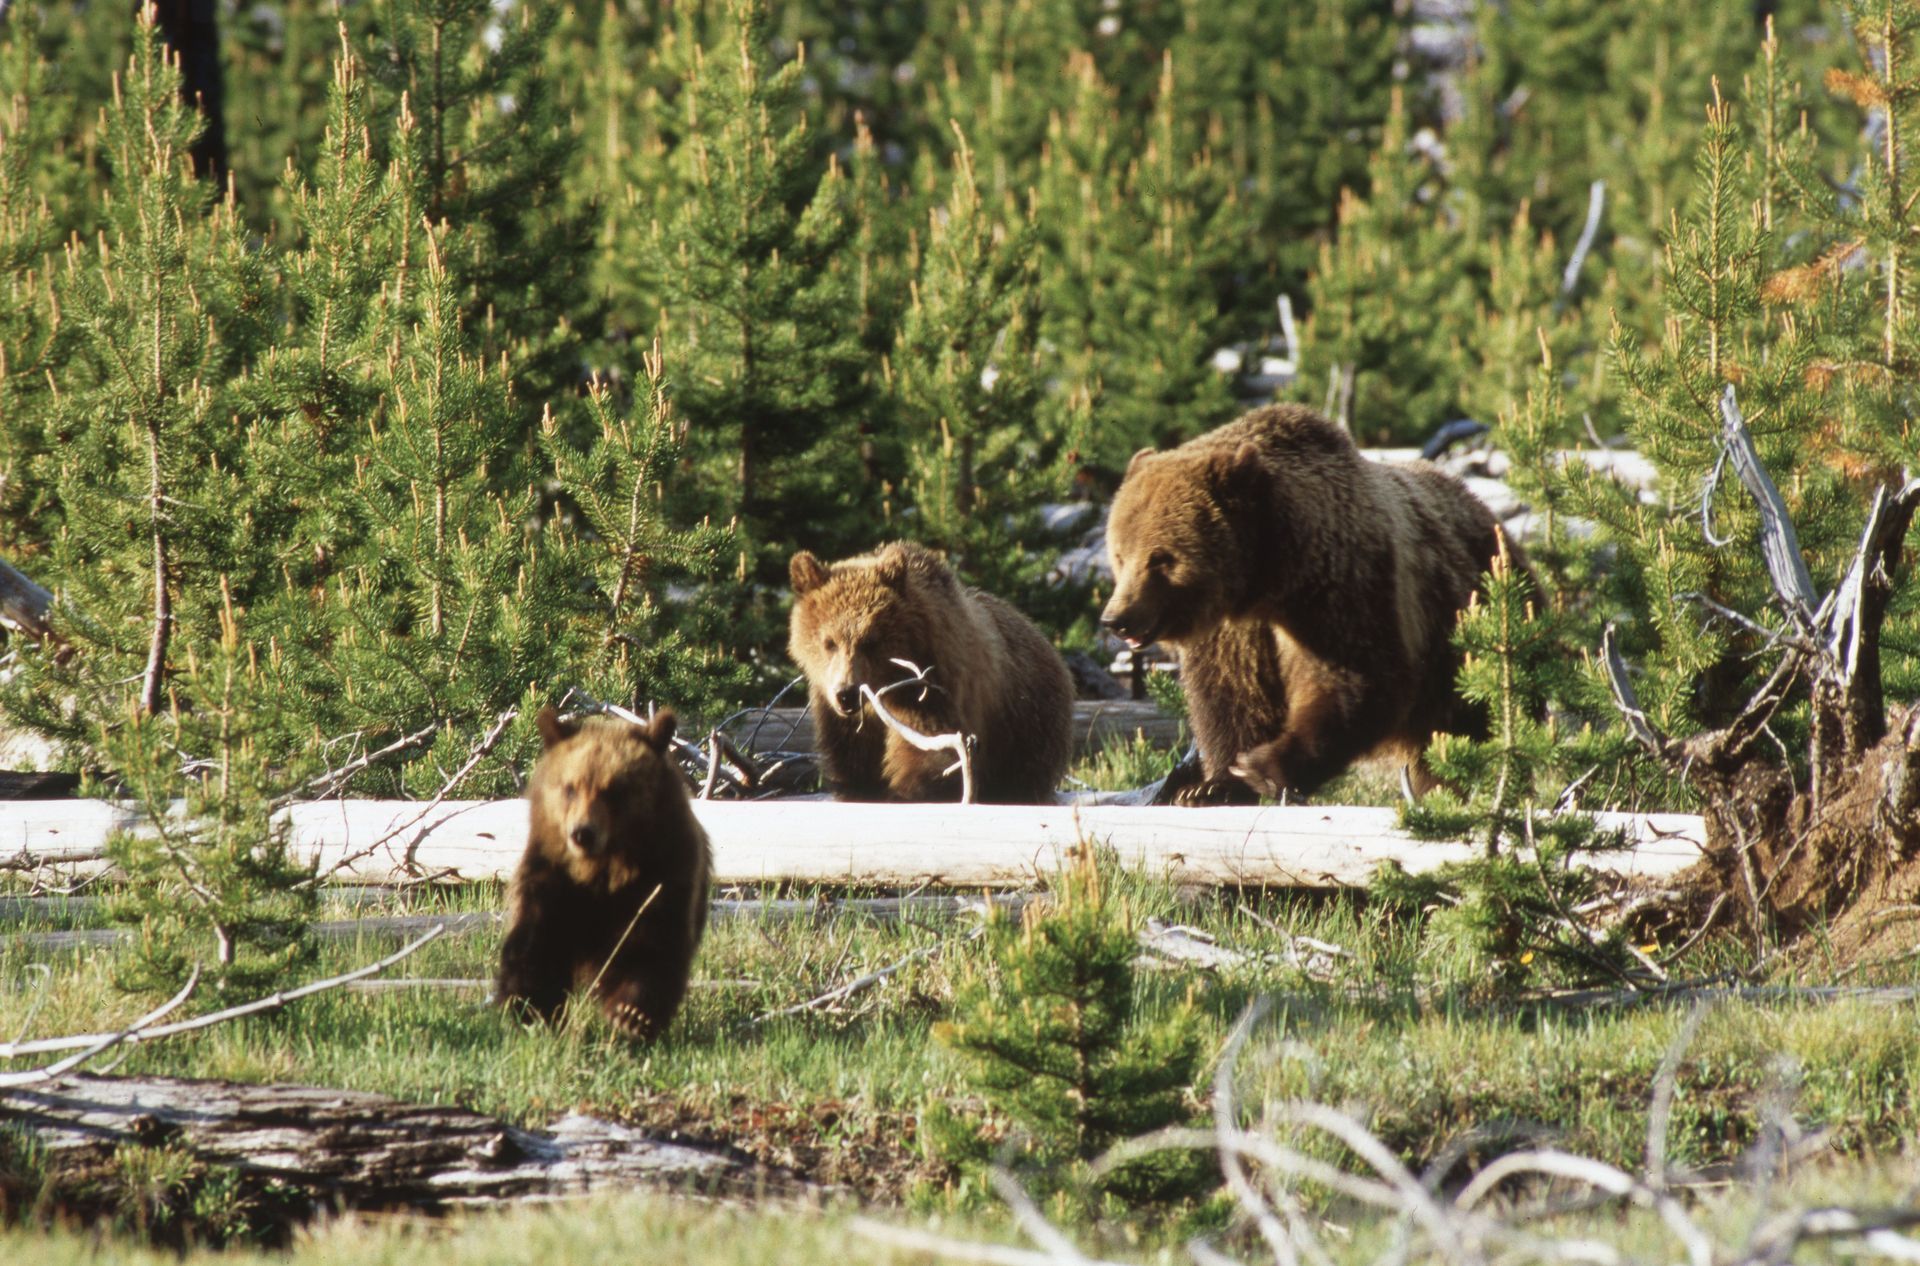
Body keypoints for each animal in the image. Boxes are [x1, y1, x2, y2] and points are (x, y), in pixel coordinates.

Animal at [495, 706, 711, 1040]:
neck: (600, 872)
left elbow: (651, 948)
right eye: (570, 787)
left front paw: (629, 1016)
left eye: (615, 790)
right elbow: (536, 945)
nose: (583, 833)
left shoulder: (660, 878)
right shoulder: (551, 880)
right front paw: (530, 1008)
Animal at [787, 540, 1074, 803]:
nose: (846, 693)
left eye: (870, 641)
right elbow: (852, 764)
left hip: (1026, 726)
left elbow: (930, 751)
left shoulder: (931, 687)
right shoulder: (840, 719)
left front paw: (903, 792)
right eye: (829, 642)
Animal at [1100, 403, 1526, 806]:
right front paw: (1210, 786)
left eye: (1161, 558)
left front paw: (1262, 768)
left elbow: (1355, 677)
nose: (1116, 618)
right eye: (1120, 554)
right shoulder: (1235, 634)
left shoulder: (1338, 585)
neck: (1264, 580)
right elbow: (1231, 699)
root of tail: (1490, 514)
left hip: (1470, 641)